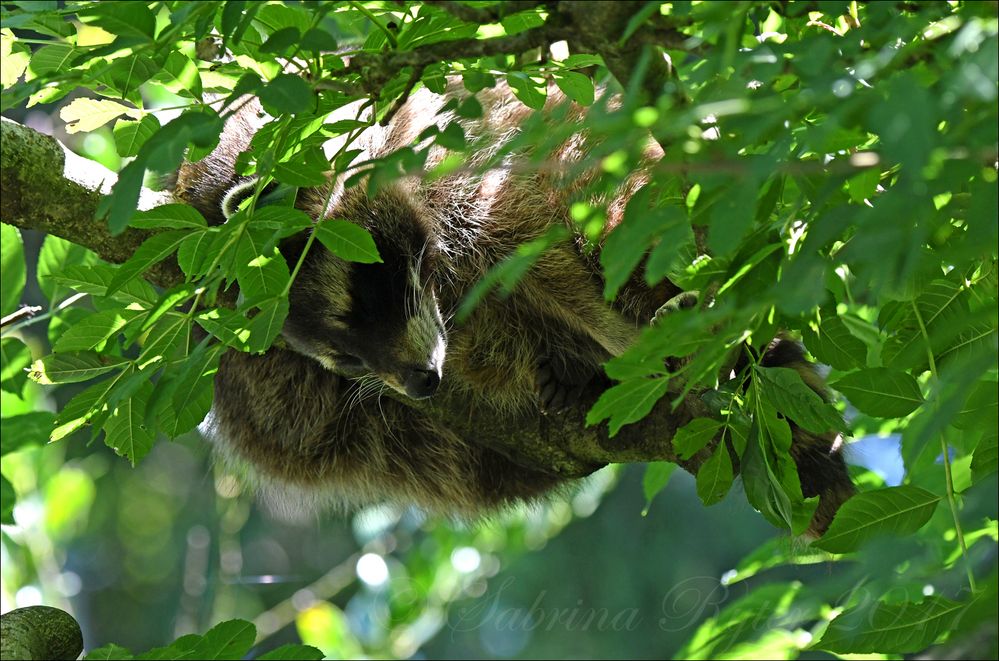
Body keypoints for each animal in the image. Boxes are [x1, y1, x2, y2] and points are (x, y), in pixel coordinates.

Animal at [176, 80, 856, 528]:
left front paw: (632, 340)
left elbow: (538, 228)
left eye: (367, 304)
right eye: (344, 359)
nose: (422, 383)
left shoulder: (459, 150)